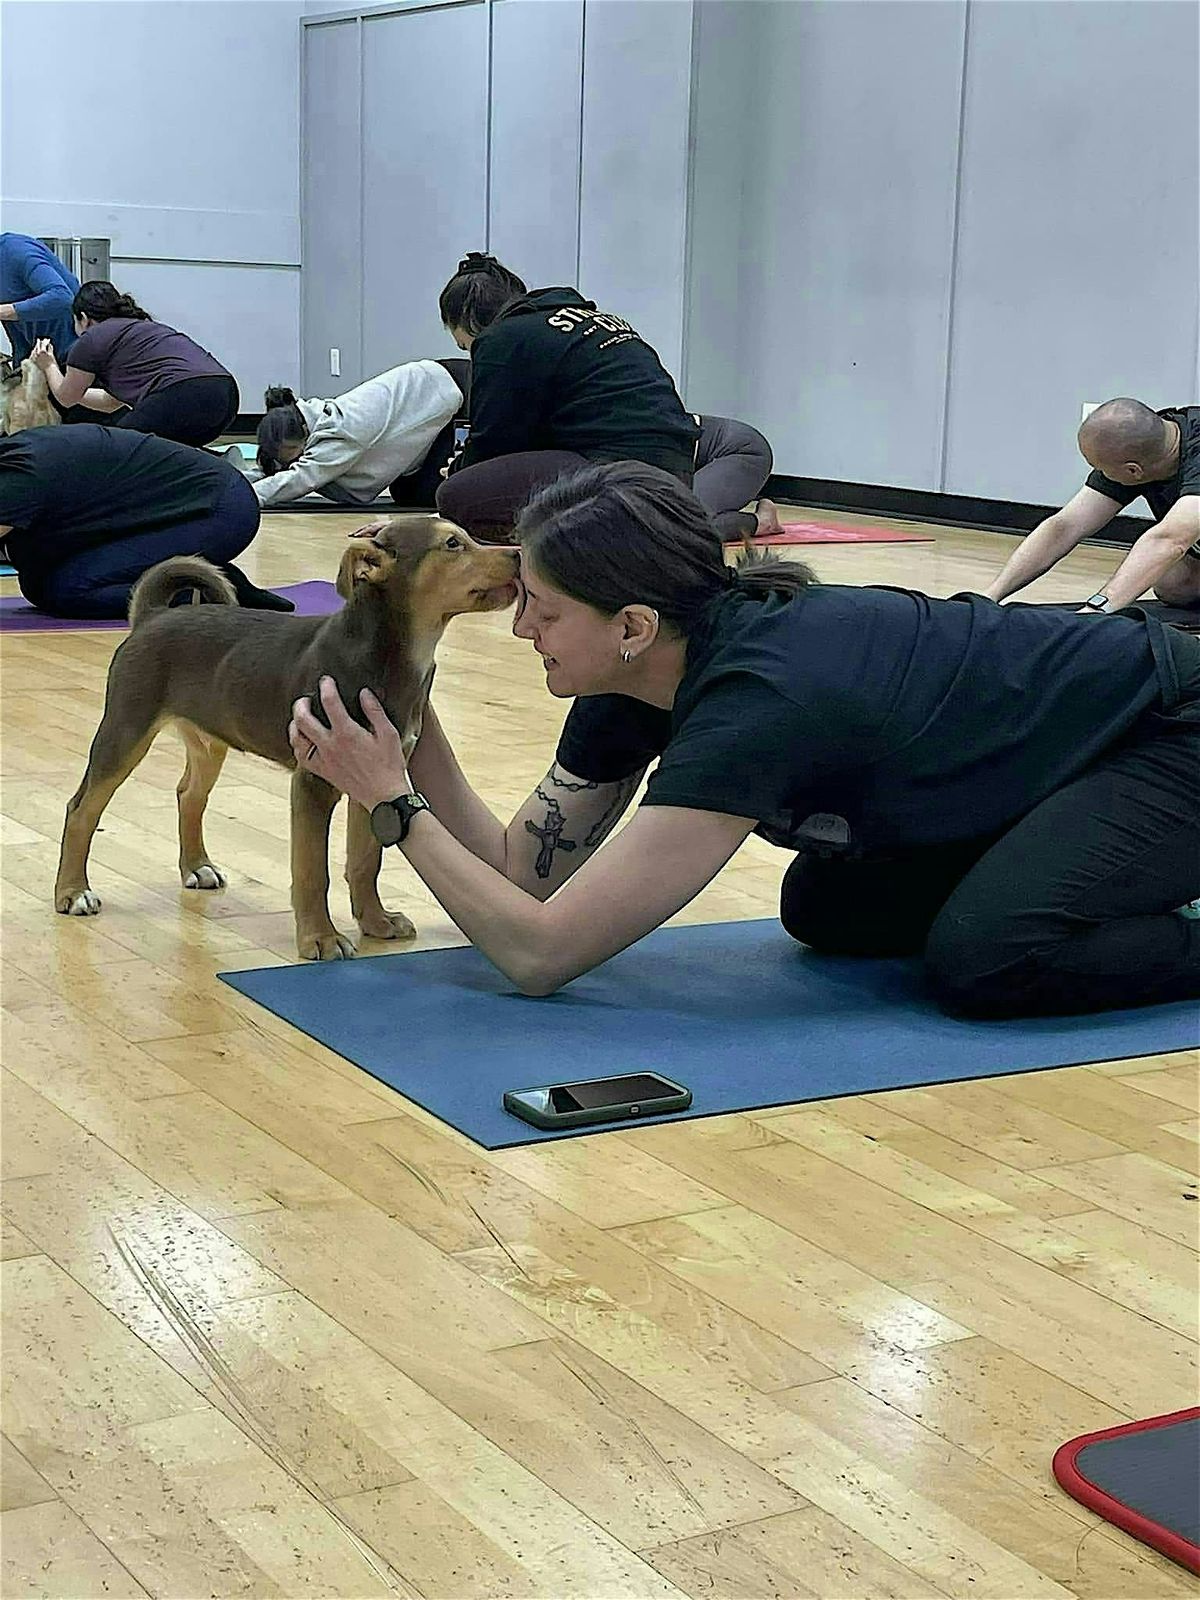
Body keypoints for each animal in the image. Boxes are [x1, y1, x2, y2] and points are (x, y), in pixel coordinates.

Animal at [55, 518, 521, 953]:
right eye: (453, 544)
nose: (518, 554)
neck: (386, 653)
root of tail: (154, 615)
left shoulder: (376, 776)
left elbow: (365, 860)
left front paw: (376, 922)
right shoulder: (313, 782)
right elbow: (314, 871)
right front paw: (321, 938)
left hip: (209, 739)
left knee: (189, 795)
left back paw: (197, 867)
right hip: (125, 729)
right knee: (82, 809)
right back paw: (73, 892)